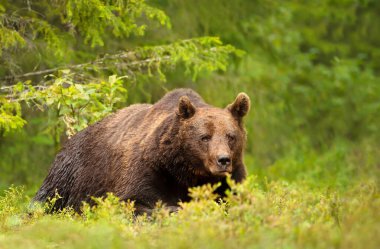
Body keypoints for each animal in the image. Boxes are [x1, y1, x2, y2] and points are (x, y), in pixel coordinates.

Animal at [33, 89, 249, 214]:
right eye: (205, 137)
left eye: (230, 136)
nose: (223, 160)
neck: (186, 171)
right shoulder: (148, 169)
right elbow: (133, 201)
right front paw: (173, 208)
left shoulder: (232, 178)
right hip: (73, 174)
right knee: (48, 199)